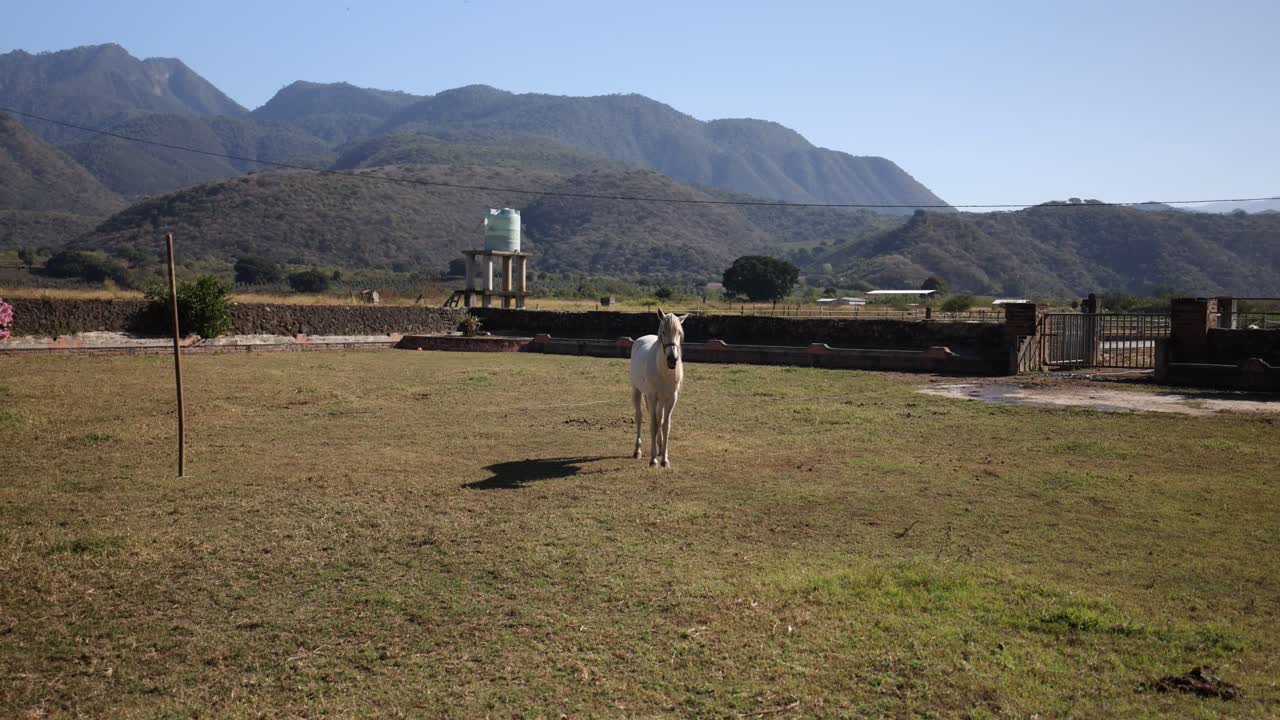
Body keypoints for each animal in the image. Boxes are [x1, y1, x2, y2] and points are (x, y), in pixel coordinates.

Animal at [630, 308, 689, 467]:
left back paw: (660, 447)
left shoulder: (671, 398)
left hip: (661, 400)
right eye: (663, 331)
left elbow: (665, 425)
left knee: (659, 418)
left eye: (679, 333)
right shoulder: (651, 396)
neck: (663, 370)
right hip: (637, 391)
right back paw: (637, 451)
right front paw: (653, 460)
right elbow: (653, 425)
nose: (672, 359)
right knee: (639, 417)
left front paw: (664, 459)